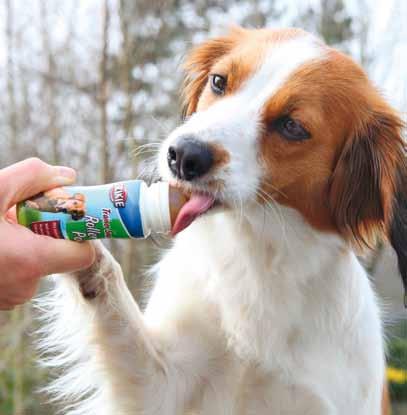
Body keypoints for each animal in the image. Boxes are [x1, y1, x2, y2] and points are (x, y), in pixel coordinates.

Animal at [37, 27, 404, 414]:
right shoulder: (162, 385)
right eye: (218, 81)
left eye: (292, 126)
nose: (184, 155)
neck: (257, 252)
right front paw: (83, 246)